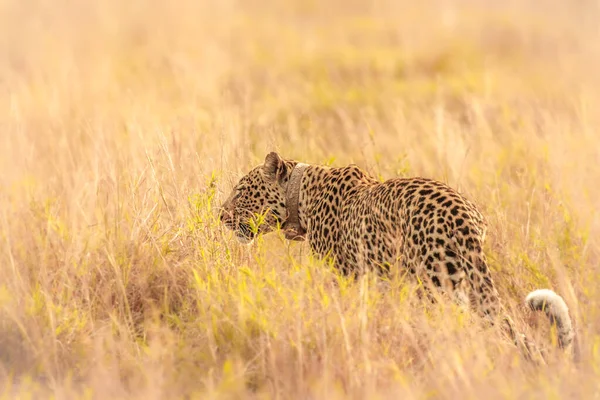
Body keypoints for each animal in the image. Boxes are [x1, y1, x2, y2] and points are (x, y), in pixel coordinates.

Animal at [218, 151, 576, 362]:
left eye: (241, 190)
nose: (221, 215)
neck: (301, 199)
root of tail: (462, 215)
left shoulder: (348, 275)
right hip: (466, 282)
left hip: (439, 286)